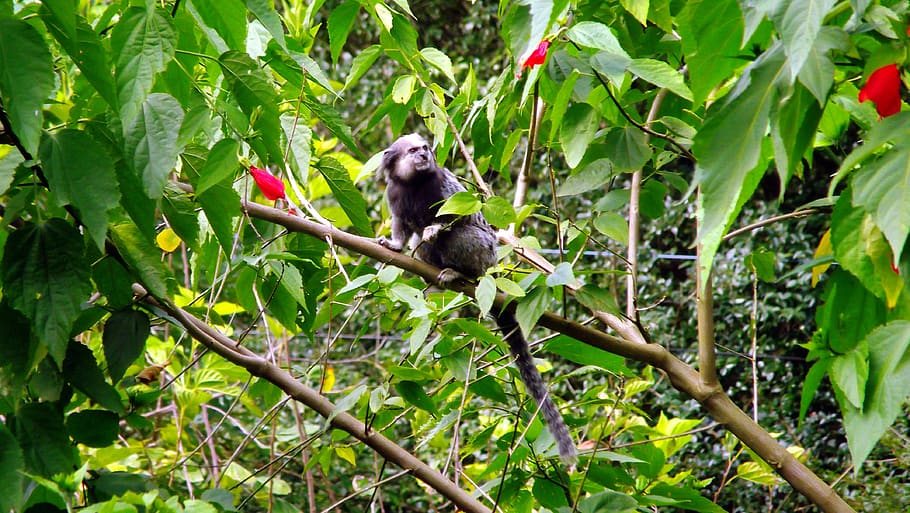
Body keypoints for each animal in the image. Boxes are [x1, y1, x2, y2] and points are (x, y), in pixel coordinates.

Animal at [377, 133, 577, 465]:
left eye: (425, 149)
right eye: (413, 150)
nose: (424, 155)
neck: (413, 184)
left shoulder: (443, 185)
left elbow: (455, 216)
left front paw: (434, 227)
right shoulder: (394, 196)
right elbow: (403, 229)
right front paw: (393, 245)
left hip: (485, 253)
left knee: (456, 237)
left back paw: (458, 273)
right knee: (422, 245)